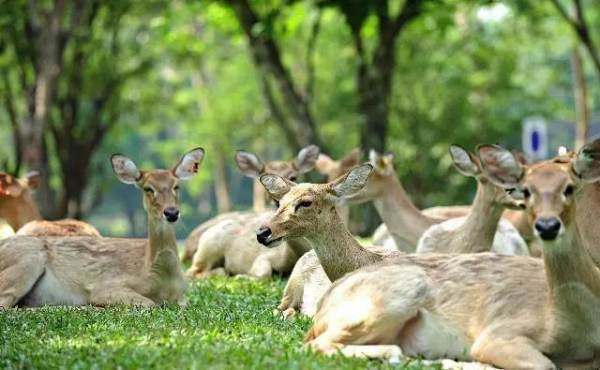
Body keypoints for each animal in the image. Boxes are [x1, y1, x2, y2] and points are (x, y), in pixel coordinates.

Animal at [0, 147, 204, 306]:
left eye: (176, 186)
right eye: (148, 188)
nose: (171, 213)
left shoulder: (182, 298)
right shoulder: (105, 286)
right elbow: (149, 304)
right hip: (27, 260)